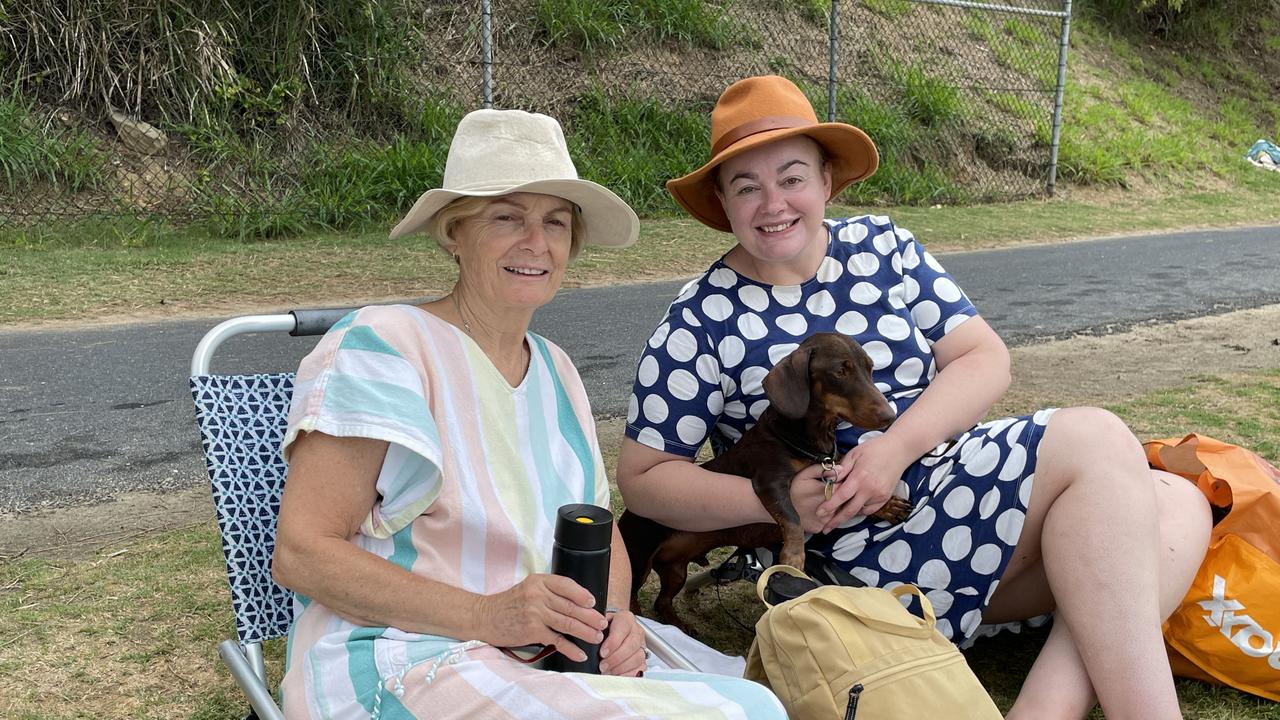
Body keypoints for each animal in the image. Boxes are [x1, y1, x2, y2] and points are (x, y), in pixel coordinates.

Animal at [616, 330, 911, 627]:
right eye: (840, 371)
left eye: (870, 368)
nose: (890, 416)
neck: (802, 438)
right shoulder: (771, 483)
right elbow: (794, 519)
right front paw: (793, 558)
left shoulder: (834, 469)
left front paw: (889, 506)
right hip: (637, 561)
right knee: (629, 598)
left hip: (675, 570)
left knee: (662, 601)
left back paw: (679, 625)